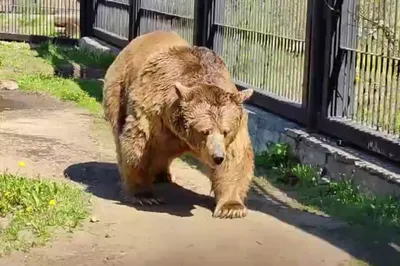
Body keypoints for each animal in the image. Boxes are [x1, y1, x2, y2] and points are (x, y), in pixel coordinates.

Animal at [101, 30, 255, 218]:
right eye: (204, 131)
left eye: (225, 132)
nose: (217, 157)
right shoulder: (152, 111)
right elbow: (139, 146)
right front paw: (144, 195)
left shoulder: (235, 124)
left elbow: (235, 158)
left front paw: (231, 207)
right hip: (119, 89)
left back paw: (162, 175)